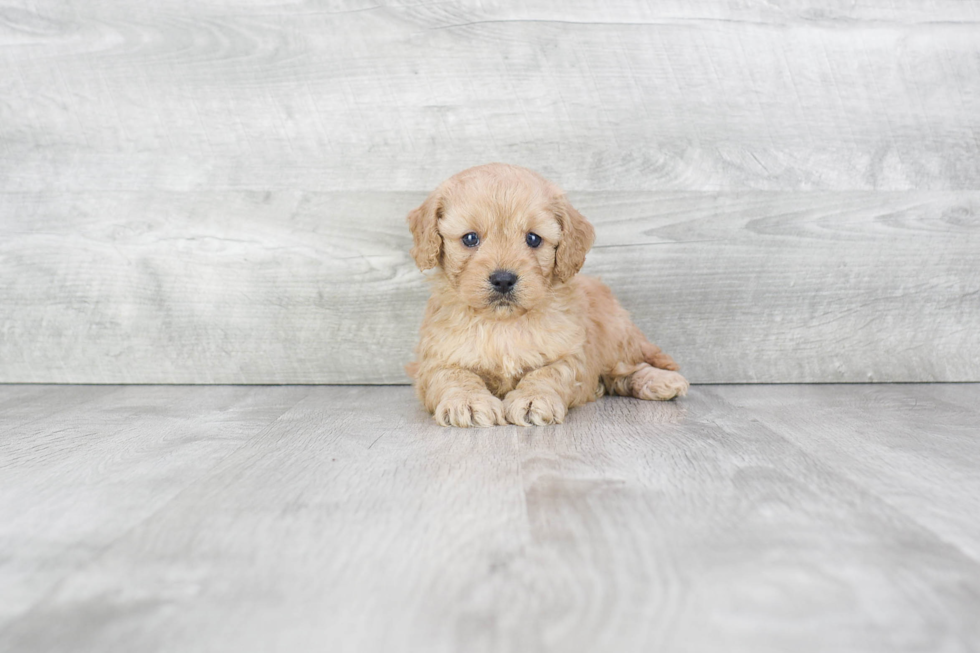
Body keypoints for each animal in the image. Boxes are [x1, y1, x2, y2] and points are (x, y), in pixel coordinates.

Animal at [406, 163, 688, 428]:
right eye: (470, 238)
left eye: (533, 239)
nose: (503, 279)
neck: (504, 324)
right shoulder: (436, 359)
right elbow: (454, 376)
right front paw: (467, 401)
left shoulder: (569, 356)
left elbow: (546, 374)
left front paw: (533, 399)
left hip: (616, 335)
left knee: (627, 366)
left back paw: (661, 381)